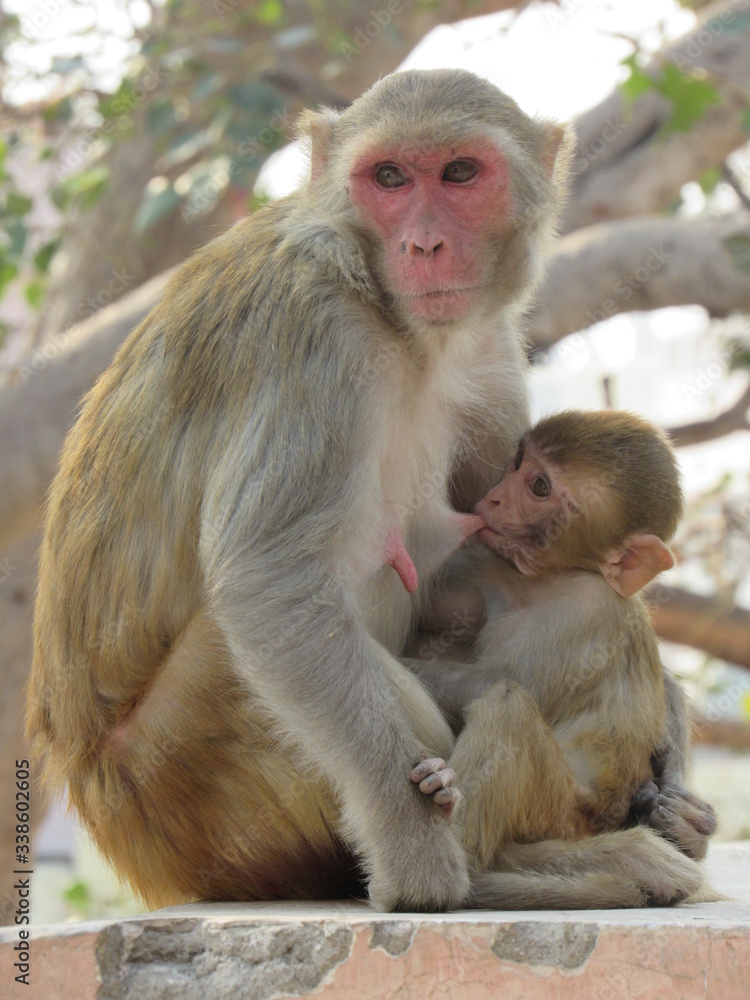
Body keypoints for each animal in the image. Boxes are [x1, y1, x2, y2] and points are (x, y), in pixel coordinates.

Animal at [408, 410, 716, 907]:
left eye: (540, 488)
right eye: (518, 461)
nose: (494, 498)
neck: (549, 580)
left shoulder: (587, 609)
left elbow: (507, 681)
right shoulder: (488, 567)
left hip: (560, 812)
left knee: (509, 706)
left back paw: (463, 851)